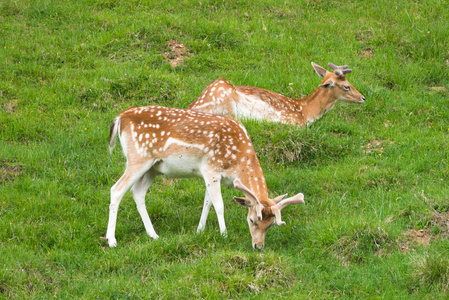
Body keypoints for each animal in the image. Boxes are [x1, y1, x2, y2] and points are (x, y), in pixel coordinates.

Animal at [106, 104, 304, 250]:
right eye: (251, 220)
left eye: (270, 225)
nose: (258, 246)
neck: (237, 162)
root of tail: (119, 118)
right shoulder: (211, 168)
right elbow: (219, 204)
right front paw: (224, 234)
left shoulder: (212, 176)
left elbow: (207, 202)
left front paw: (199, 231)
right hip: (138, 158)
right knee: (116, 189)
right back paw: (112, 240)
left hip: (153, 167)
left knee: (137, 192)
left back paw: (153, 234)